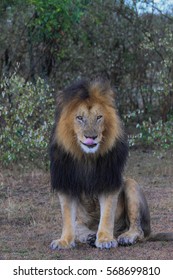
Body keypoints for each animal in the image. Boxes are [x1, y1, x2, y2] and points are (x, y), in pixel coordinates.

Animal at [49, 79, 173, 249]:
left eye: (99, 117)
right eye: (79, 118)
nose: (91, 137)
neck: (87, 157)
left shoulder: (110, 180)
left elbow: (107, 214)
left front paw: (105, 239)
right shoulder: (66, 183)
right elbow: (67, 217)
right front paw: (64, 241)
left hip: (131, 184)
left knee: (138, 229)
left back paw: (125, 237)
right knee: (79, 227)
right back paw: (89, 237)